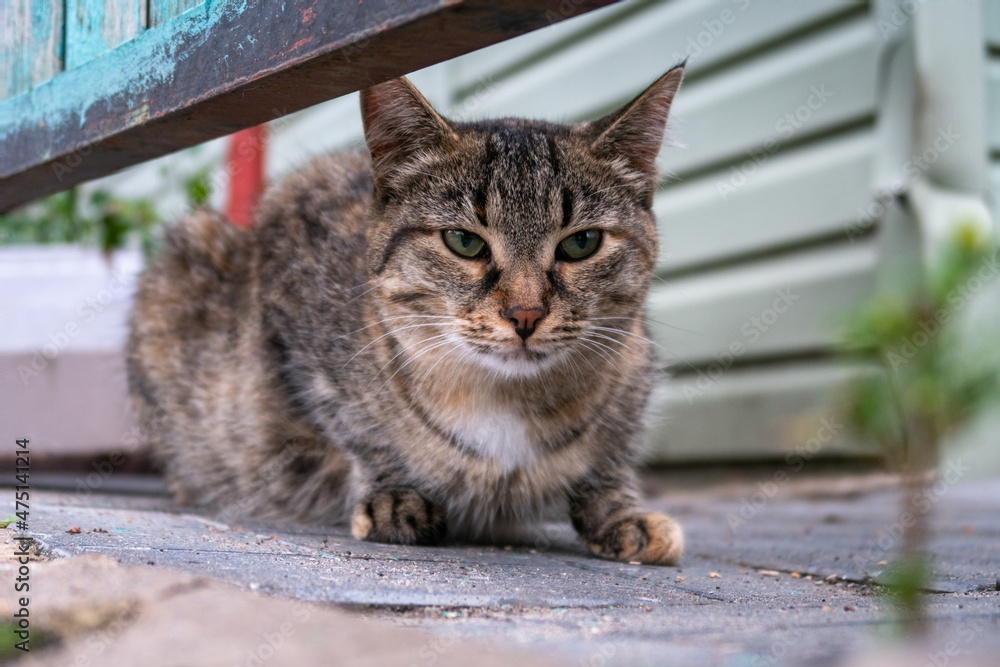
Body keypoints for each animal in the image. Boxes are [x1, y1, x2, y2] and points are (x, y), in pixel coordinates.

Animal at [125, 64, 684, 564]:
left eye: (581, 243)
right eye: (463, 241)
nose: (525, 314)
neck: (507, 399)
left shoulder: (635, 365)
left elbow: (611, 458)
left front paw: (619, 513)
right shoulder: (291, 278)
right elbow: (357, 427)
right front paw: (395, 495)